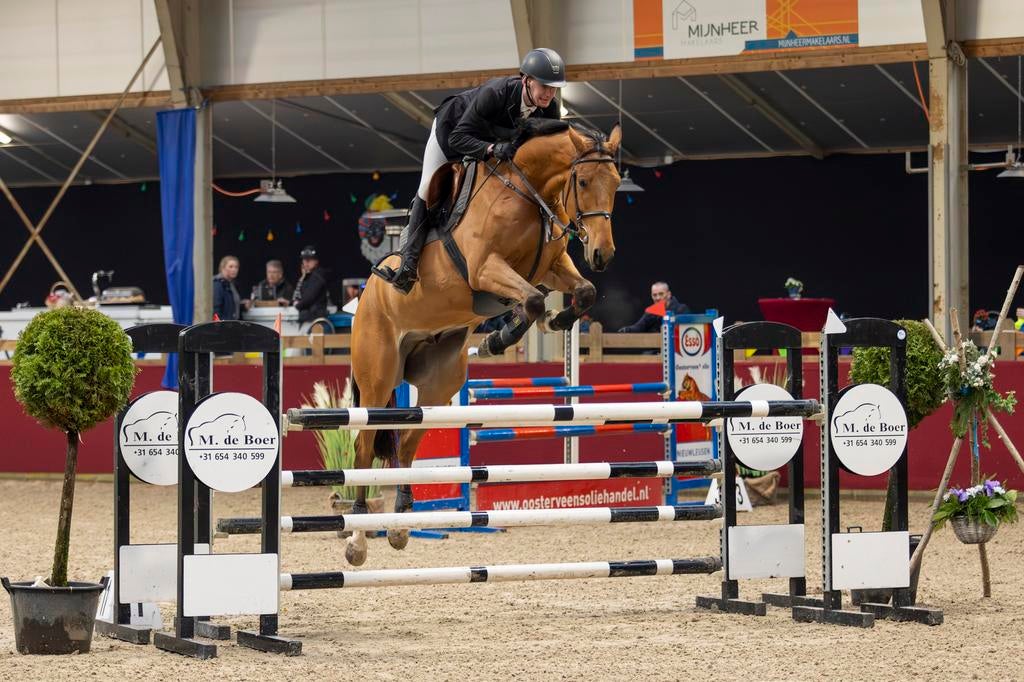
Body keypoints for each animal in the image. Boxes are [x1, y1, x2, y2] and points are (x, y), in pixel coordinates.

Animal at [345, 120, 623, 565]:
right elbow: (532, 299)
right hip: (377, 376)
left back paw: (401, 525)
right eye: (582, 181)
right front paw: (500, 338)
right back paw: (356, 538)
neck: (528, 192)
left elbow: (582, 292)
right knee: (363, 446)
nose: (602, 253)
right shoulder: (485, 269)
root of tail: (366, 296)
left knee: (406, 443)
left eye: (615, 182)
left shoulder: (552, 267)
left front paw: (554, 321)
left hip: (439, 385)